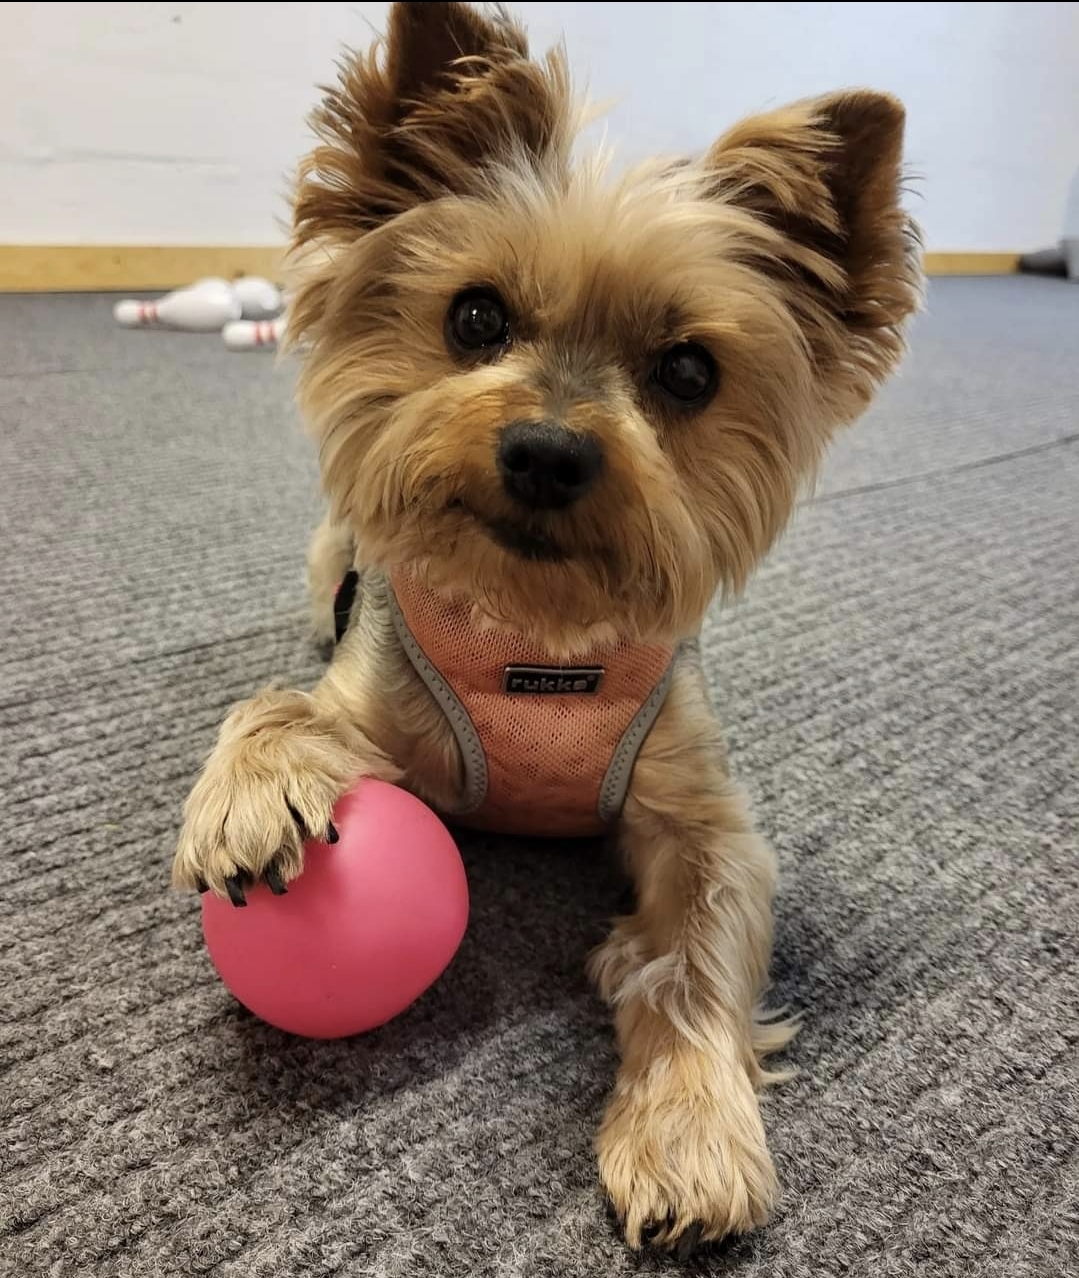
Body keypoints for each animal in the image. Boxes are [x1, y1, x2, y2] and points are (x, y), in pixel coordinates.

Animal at [173, 0, 922, 1253]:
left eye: (687, 371)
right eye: (474, 315)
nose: (546, 451)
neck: (534, 640)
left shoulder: (702, 815)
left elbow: (689, 955)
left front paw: (685, 1132)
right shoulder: (371, 695)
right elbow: (280, 700)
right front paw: (252, 792)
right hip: (333, 557)